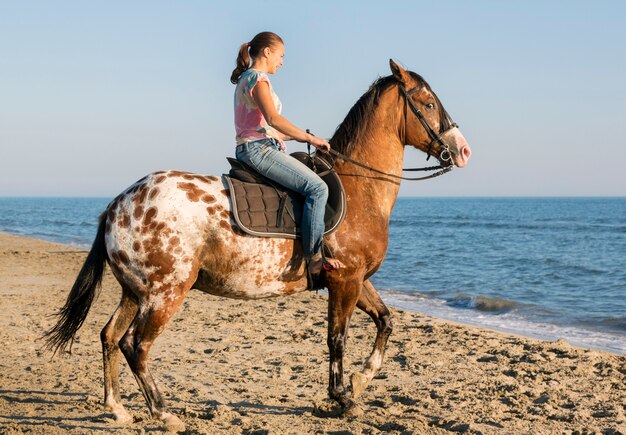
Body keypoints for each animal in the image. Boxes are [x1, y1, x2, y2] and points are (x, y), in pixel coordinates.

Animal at [45, 60, 468, 432]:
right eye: (428, 103)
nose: (463, 150)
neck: (357, 186)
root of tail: (118, 204)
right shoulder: (345, 281)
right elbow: (337, 338)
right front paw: (342, 398)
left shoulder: (357, 278)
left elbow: (386, 321)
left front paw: (359, 382)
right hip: (166, 293)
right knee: (135, 345)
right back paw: (164, 414)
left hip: (135, 292)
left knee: (109, 337)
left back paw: (118, 409)